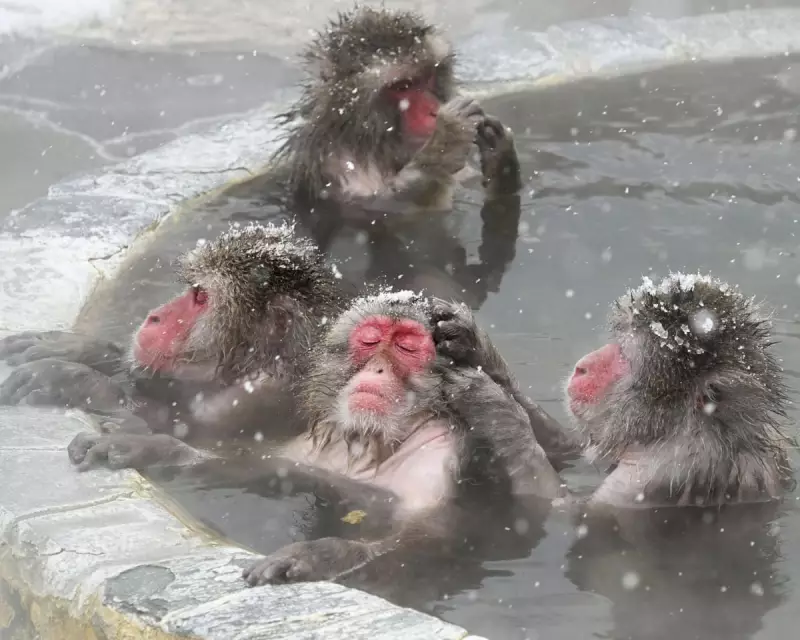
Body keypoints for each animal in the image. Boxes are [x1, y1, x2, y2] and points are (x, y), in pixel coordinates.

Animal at [240, 290, 566, 586]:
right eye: (370, 340)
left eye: (406, 346)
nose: (378, 368)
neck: (372, 445)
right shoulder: (301, 452)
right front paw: (473, 347)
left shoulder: (436, 458)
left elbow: (429, 538)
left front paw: (319, 555)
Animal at [276, 6, 522, 211]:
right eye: (403, 87)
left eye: (428, 76)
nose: (433, 110)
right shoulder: (337, 167)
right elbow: (387, 207)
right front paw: (446, 141)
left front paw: (499, 153)